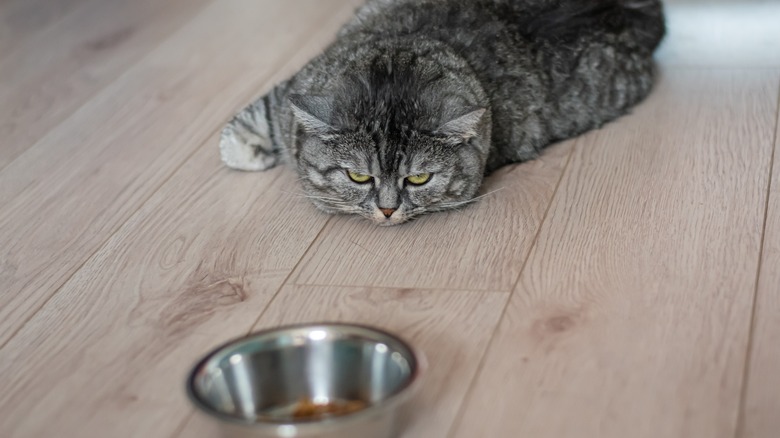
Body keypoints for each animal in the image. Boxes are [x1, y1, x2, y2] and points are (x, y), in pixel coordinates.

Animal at [218, 0, 664, 226]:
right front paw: (248, 150)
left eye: (419, 179)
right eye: (358, 177)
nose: (387, 209)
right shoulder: (295, 91)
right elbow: (254, 120)